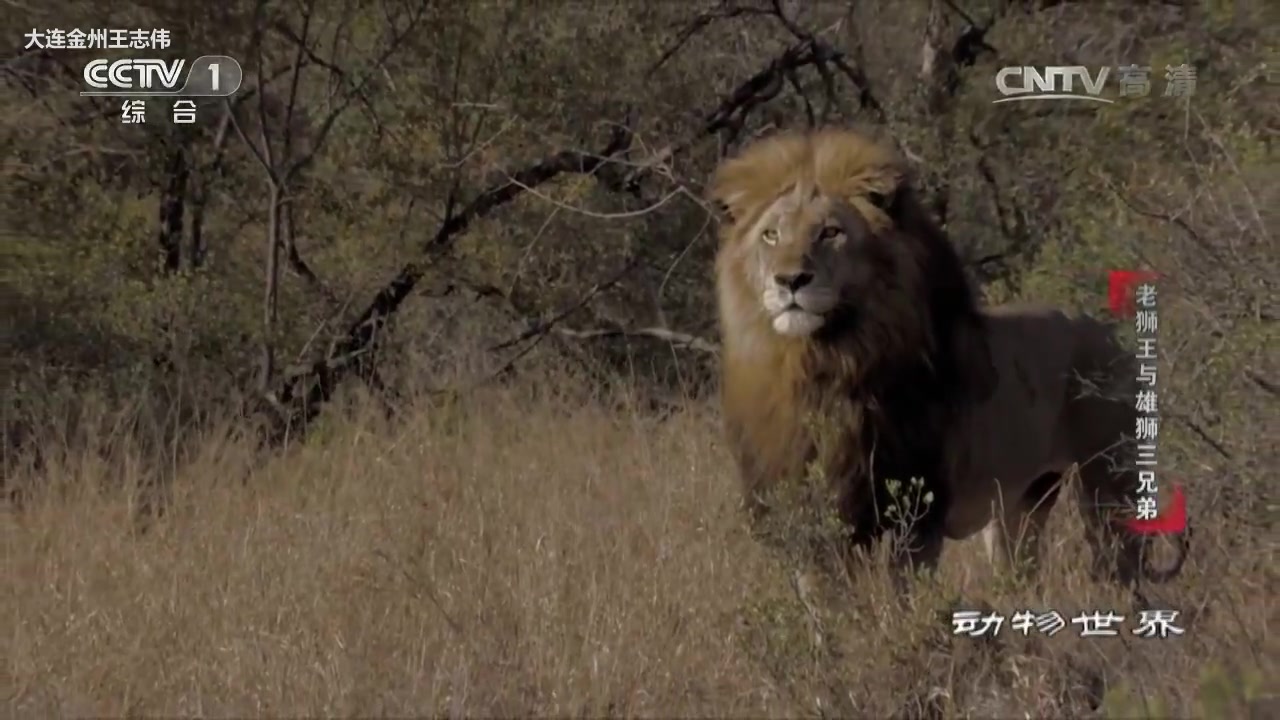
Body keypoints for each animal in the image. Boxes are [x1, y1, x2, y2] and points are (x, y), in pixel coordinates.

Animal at [711, 127, 1187, 589]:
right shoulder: (807, 517)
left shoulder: (919, 515)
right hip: (1021, 506)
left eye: (830, 232)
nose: (789, 280)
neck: (823, 364)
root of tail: (1113, 336)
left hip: (1108, 484)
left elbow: (905, 597)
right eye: (771, 235)